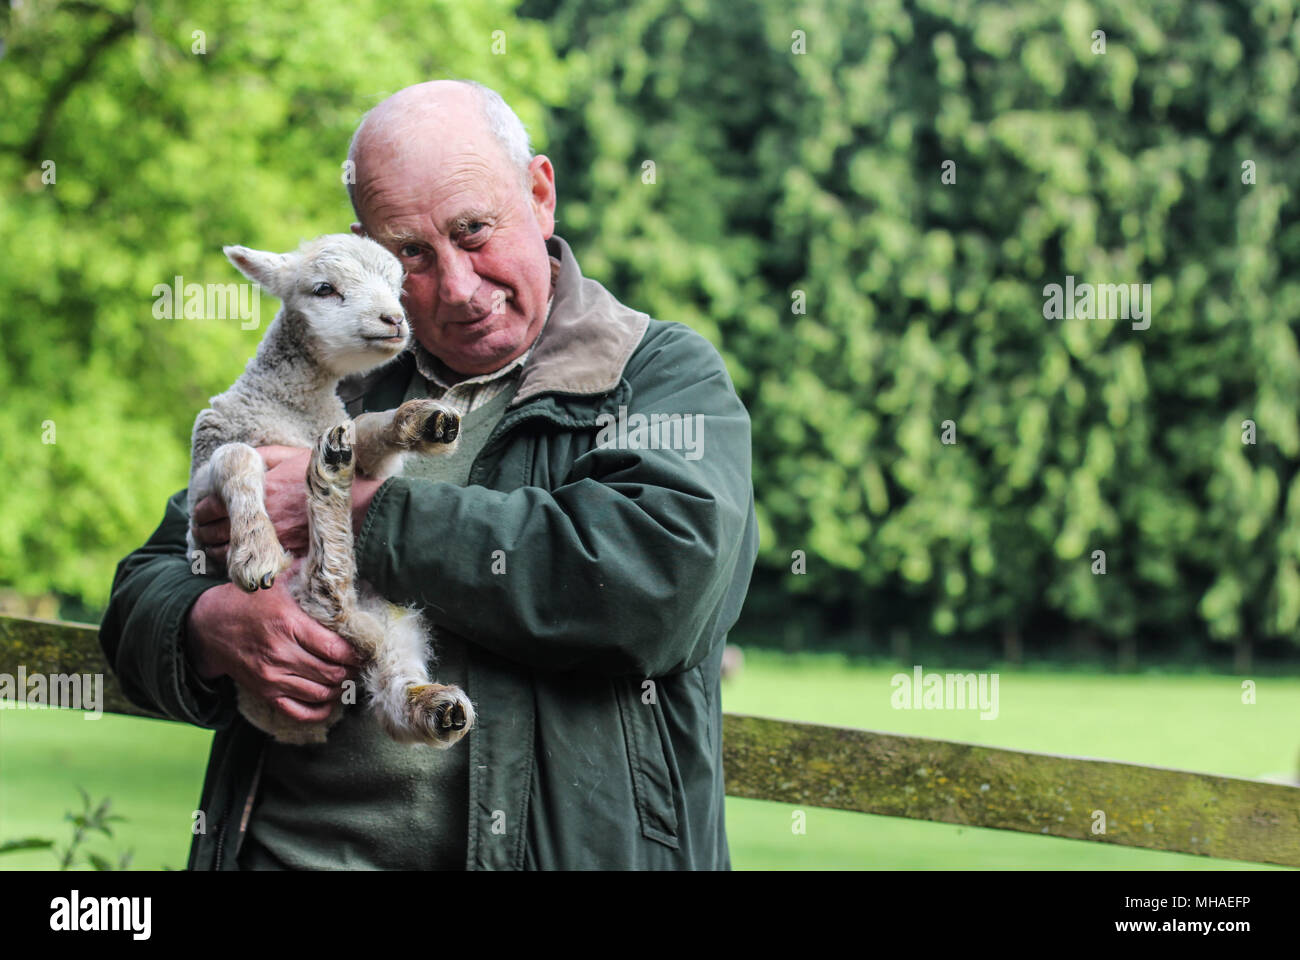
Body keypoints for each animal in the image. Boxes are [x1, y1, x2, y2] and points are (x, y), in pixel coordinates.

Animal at [188, 234, 478, 749]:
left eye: (398, 285)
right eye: (324, 288)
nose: (394, 319)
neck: (295, 407)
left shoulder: (364, 453)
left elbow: (366, 428)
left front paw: (421, 421)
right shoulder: (201, 476)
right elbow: (238, 458)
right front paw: (255, 551)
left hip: (391, 622)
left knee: (391, 694)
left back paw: (434, 706)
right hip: (310, 600)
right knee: (326, 591)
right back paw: (327, 480)